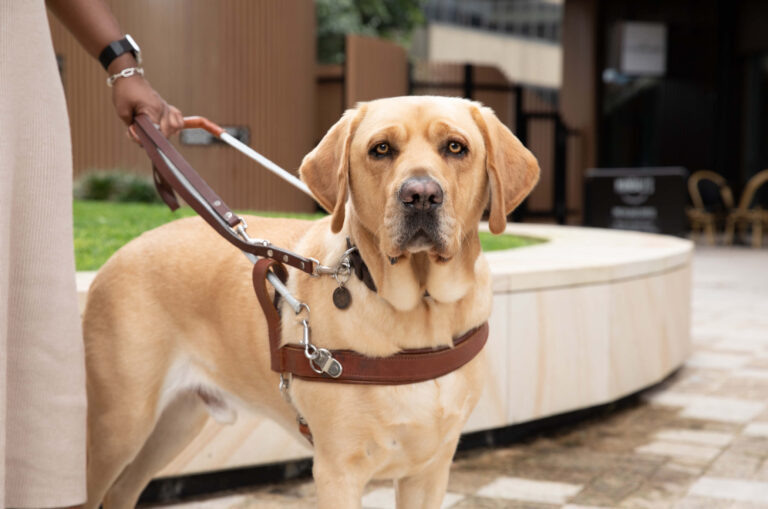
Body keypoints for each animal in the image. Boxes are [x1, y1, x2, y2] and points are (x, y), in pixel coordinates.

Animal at [84, 96, 540, 508]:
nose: (421, 195)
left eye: (455, 147)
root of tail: (120, 252)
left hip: (175, 422)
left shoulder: (429, 469)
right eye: (381, 149)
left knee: (122, 492)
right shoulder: (338, 470)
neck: (421, 310)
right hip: (118, 424)